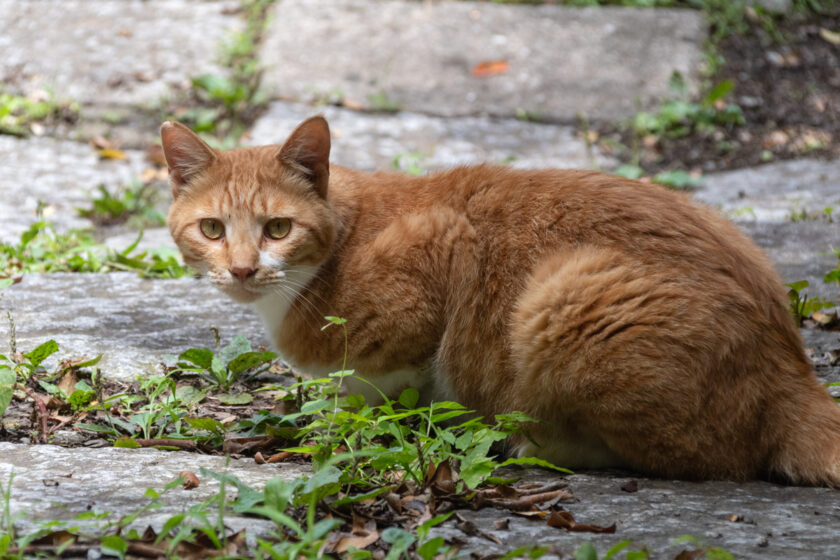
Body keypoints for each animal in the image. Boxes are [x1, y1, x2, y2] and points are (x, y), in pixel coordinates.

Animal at [162, 115, 840, 486]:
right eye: (212, 229)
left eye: (277, 228)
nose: (243, 269)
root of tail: (795, 373)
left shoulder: (442, 250)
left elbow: (390, 381)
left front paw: (354, 419)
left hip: (562, 297)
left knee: (702, 457)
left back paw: (535, 442)